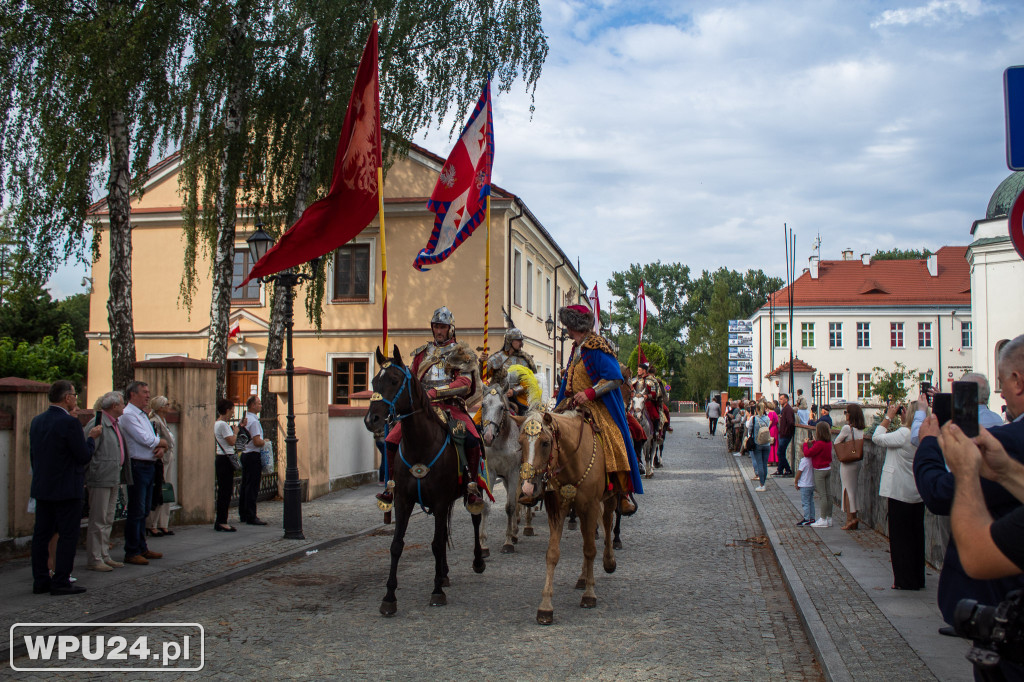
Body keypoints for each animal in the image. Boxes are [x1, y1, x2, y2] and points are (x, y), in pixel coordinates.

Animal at [362, 346, 485, 614]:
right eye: (374, 382)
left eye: (394, 380)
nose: (371, 420)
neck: (421, 444)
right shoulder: (404, 501)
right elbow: (397, 545)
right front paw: (389, 597)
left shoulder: (438, 501)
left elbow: (437, 544)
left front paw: (437, 591)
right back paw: (444, 573)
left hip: (475, 487)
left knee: (475, 519)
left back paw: (478, 561)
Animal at [477, 382, 536, 552]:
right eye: (483, 405)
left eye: (501, 407)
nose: (488, 437)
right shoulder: (491, 473)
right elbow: (487, 506)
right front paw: (483, 544)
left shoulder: (513, 473)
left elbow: (510, 506)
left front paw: (508, 541)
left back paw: (527, 526)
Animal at [512, 405, 614, 622]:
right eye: (520, 443)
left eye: (545, 443)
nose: (527, 488)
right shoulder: (558, 508)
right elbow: (552, 554)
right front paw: (545, 606)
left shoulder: (591, 506)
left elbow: (590, 549)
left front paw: (589, 595)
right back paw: (583, 577)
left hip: (609, 498)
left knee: (608, 523)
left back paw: (609, 561)